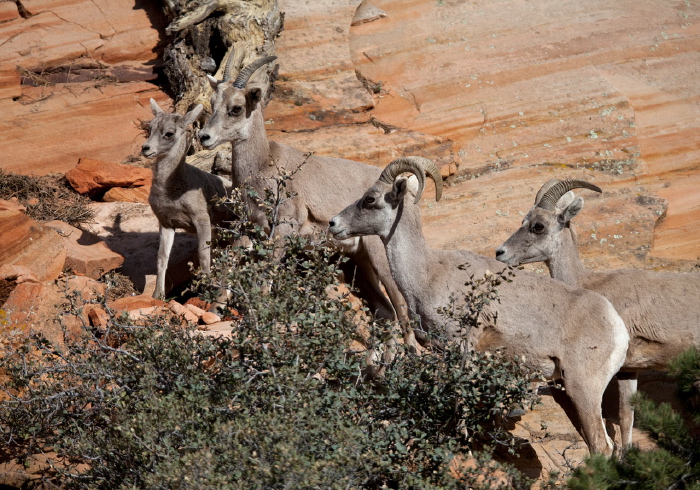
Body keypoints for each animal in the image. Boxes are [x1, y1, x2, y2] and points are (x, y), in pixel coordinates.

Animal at [142, 99, 232, 298]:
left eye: (169, 133)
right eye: (150, 128)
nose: (145, 148)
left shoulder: (202, 221)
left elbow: (204, 258)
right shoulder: (167, 223)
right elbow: (162, 259)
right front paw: (158, 295)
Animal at [198, 54, 416, 344]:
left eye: (236, 108)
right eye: (213, 103)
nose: (204, 137)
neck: (263, 167)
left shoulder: (283, 231)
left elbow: (266, 278)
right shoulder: (249, 228)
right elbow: (231, 265)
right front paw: (215, 310)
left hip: (380, 258)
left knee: (401, 308)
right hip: (360, 264)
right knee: (386, 311)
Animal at [330, 158, 632, 456]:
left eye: (370, 199)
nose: (334, 223)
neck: (428, 272)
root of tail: (618, 329)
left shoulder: (462, 346)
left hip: (582, 390)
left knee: (601, 445)